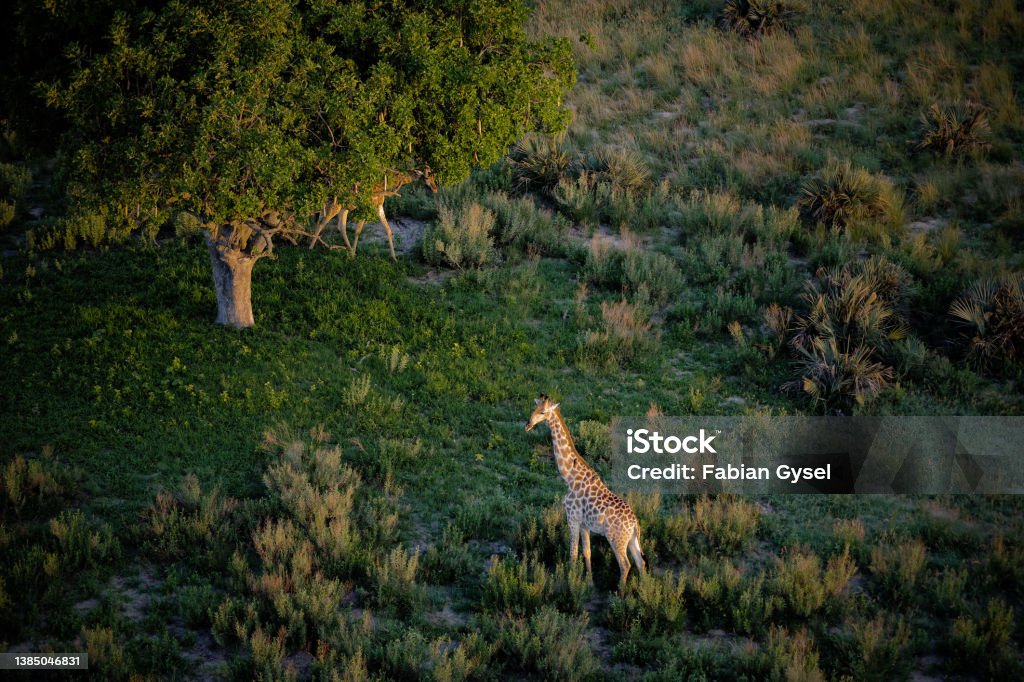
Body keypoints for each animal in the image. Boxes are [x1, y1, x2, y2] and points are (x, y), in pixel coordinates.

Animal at [305, 165, 438, 259]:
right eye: (426, 177)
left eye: (434, 177)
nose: (435, 189)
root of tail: (325, 183)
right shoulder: (367, 205)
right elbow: (358, 231)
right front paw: (353, 255)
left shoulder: (379, 205)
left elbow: (388, 230)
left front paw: (394, 258)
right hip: (335, 204)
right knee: (323, 221)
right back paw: (310, 248)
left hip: (343, 206)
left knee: (338, 225)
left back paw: (346, 249)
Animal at [524, 391, 643, 585]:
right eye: (533, 408)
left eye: (542, 412)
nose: (527, 425)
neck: (569, 477)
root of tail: (634, 524)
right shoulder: (585, 524)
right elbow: (587, 553)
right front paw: (589, 582)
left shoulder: (572, 518)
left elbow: (573, 554)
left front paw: (569, 582)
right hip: (632, 540)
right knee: (641, 563)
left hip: (616, 538)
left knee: (625, 565)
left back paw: (620, 591)